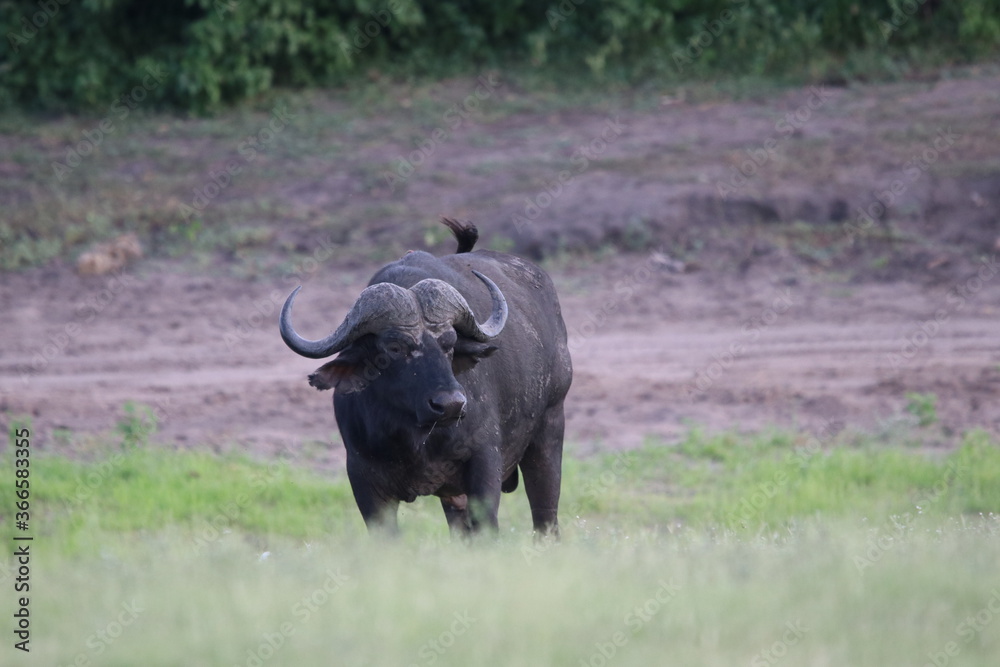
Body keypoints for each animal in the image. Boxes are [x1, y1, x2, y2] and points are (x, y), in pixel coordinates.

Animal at [279, 219, 572, 537]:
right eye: (394, 347)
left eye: (449, 342)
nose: (451, 404)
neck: (412, 433)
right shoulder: (363, 479)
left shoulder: (484, 462)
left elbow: (487, 527)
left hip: (549, 429)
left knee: (545, 517)